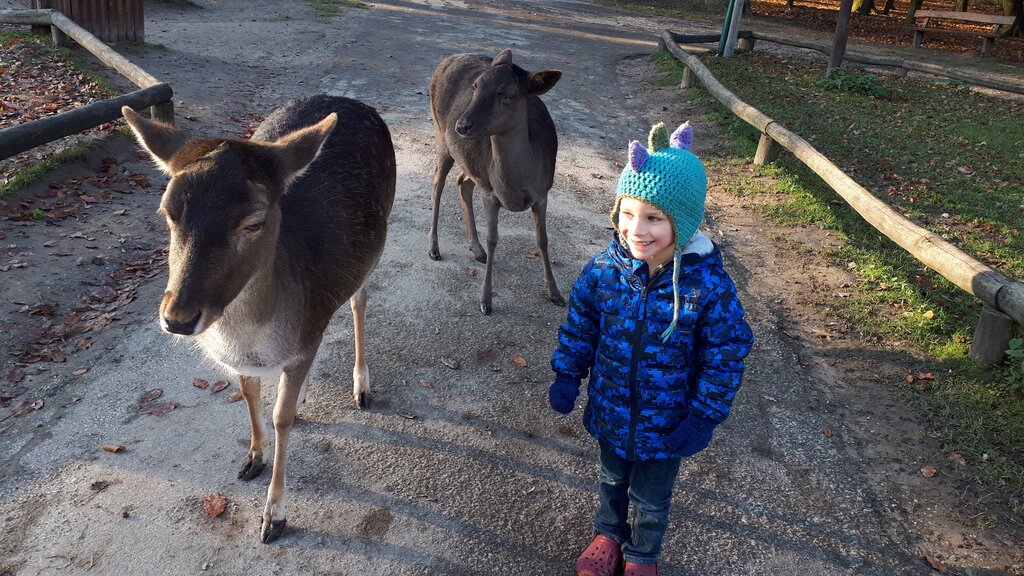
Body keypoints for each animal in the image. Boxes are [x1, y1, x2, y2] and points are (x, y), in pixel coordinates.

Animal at [121, 94, 396, 544]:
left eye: (253, 221)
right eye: (167, 213)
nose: (177, 319)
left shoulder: (307, 329)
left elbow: (280, 417)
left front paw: (274, 516)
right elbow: (250, 395)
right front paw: (253, 457)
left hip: (372, 250)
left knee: (360, 300)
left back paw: (361, 386)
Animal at [427, 48, 564, 315]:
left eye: (508, 96)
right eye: (475, 86)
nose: (462, 125)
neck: (516, 184)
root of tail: (446, 60)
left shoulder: (543, 193)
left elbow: (543, 240)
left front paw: (556, 293)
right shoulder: (490, 193)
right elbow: (493, 240)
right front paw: (485, 300)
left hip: (472, 163)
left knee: (462, 182)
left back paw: (476, 248)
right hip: (441, 135)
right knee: (438, 182)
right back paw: (434, 248)